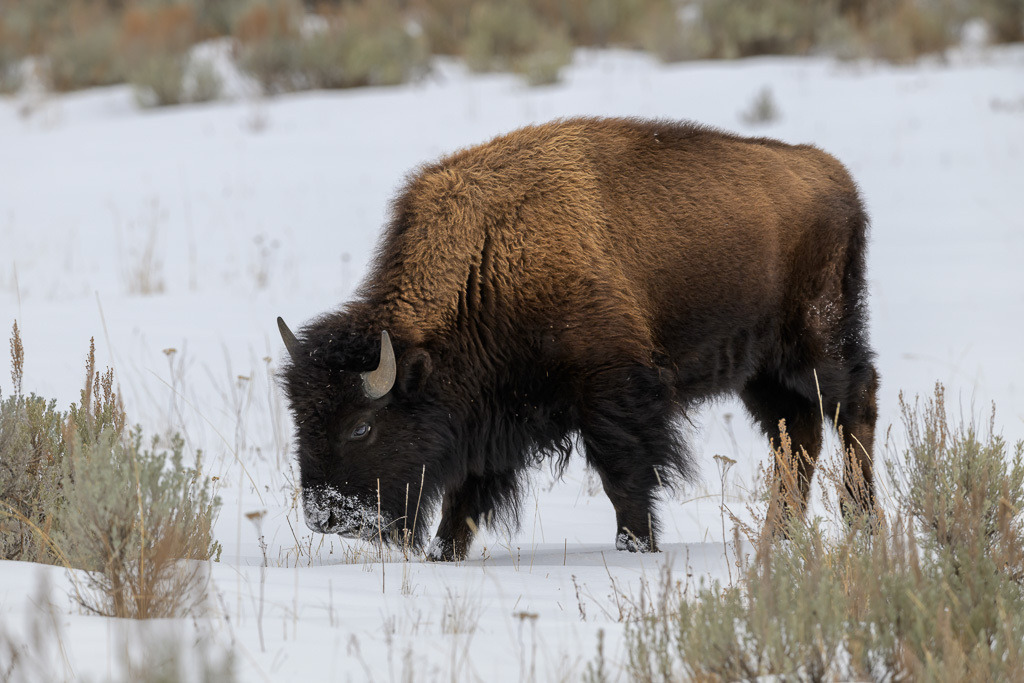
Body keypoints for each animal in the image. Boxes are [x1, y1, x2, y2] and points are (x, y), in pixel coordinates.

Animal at [279, 117, 878, 561]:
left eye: (361, 427)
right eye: (300, 420)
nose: (326, 516)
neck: (489, 259)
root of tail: (836, 176)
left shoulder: (612, 393)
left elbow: (624, 476)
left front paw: (637, 547)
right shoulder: (487, 416)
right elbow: (464, 494)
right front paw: (443, 555)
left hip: (818, 342)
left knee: (853, 406)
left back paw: (862, 521)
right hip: (758, 371)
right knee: (796, 435)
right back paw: (779, 537)